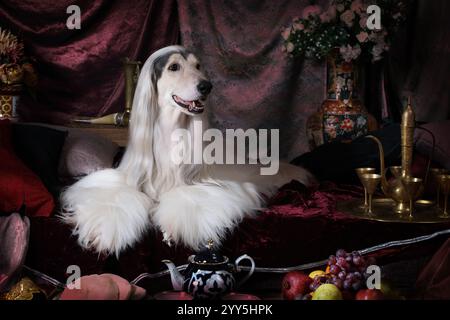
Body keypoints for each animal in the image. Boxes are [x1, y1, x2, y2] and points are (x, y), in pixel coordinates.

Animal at [60, 45, 312, 256]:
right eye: (174, 67)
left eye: (198, 66)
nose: (206, 86)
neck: (172, 129)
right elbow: (118, 194)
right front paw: (103, 229)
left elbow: (185, 196)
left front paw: (175, 228)